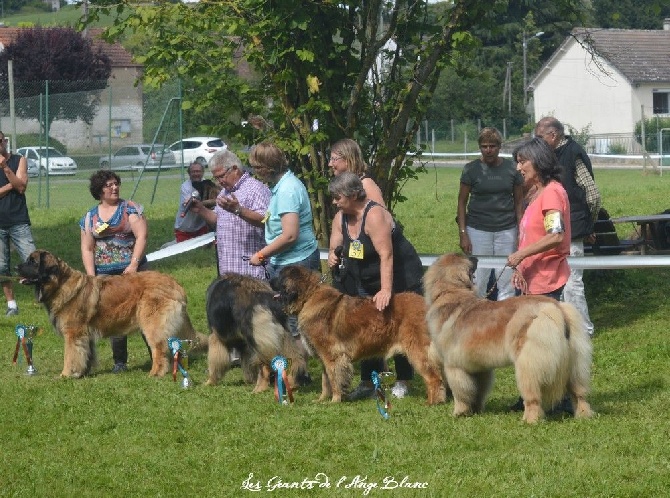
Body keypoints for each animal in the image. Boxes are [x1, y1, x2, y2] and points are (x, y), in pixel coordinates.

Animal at [18, 249, 205, 378]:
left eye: (33, 262)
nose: (15, 267)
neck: (60, 284)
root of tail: (175, 284)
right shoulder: (85, 335)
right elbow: (86, 354)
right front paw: (82, 374)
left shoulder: (73, 333)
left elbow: (70, 355)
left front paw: (65, 375)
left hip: (152, 324)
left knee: (159, 348)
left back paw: (155, 373)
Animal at [270, 264, 448, 404]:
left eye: (280, 276)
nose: (269, 280)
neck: (309, 296)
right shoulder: (323, 356)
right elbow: (325, 380)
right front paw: (321, 400)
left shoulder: (332, 355)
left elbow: (333, 378)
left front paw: (334, 400)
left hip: (417, 351)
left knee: (434, 378)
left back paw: (432, 402)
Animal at [422, 255, 596, 422]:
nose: (476, 257)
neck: (451, 292)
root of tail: (556, 308)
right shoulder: (479, 367)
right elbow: (478, 390)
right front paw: (475, 411)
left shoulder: (454, 365)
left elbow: (461, 393)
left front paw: (459, 413)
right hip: (575, 362)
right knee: (579, 394)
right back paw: (583, 415)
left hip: (528, 362)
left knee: (533, 397)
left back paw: (530, 419)